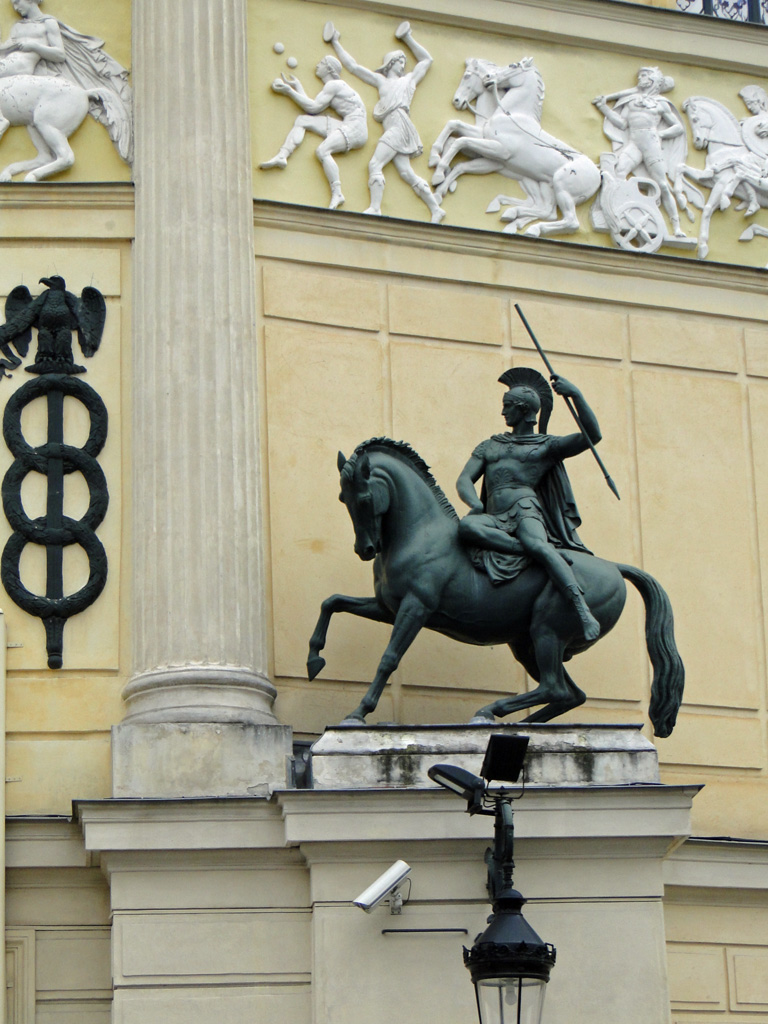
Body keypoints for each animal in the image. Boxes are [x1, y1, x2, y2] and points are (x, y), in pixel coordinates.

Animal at [309, 436, 684, 733]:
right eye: (343, 499)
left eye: (364, 498)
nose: (365, 550)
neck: (419, 533)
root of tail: (614, 568)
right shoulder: (387, 608)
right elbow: (332, 601)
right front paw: (314, 659)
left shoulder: (416, 608)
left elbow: (389, 658)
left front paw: (358, 713)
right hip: (527, 643)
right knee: (569, 693)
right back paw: (520, 725)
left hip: (548, 630)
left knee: (555, 687)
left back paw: (490, 711)